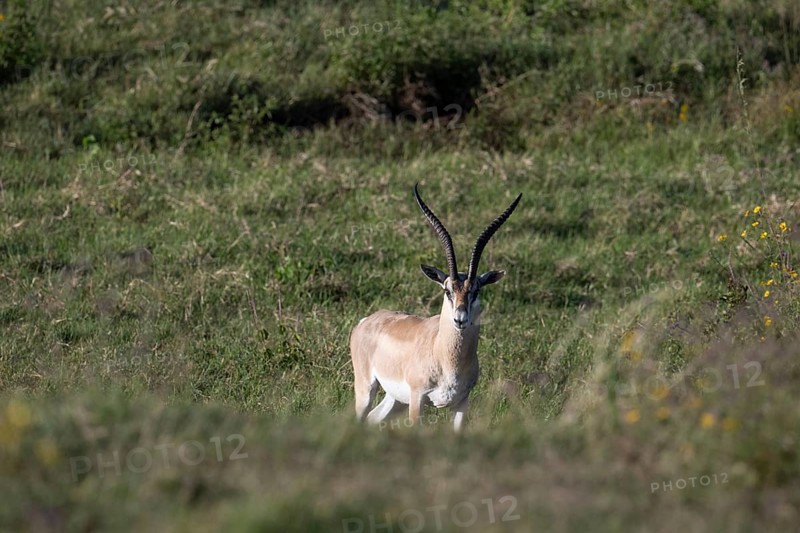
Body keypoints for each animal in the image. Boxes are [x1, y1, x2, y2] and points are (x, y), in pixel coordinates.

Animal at [350, 184, 522, 431]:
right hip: (366, 389)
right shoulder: (417, 398)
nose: (460, 319)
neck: (446, 357)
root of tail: (367, 321)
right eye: (447, 290)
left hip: (395, 399)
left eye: (476, 290)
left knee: (374, 418)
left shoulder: (462, 403)